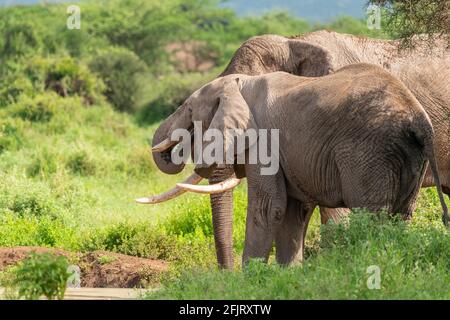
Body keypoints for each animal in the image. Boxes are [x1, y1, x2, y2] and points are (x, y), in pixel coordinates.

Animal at [141, 30, 450, 270]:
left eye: (190, 112)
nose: (224, 275)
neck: (293, 42)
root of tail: (420, 123)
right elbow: (293, 210)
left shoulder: (286, 139)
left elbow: (273, 207)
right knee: (401, 214)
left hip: (367, 153)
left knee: (372, 214)